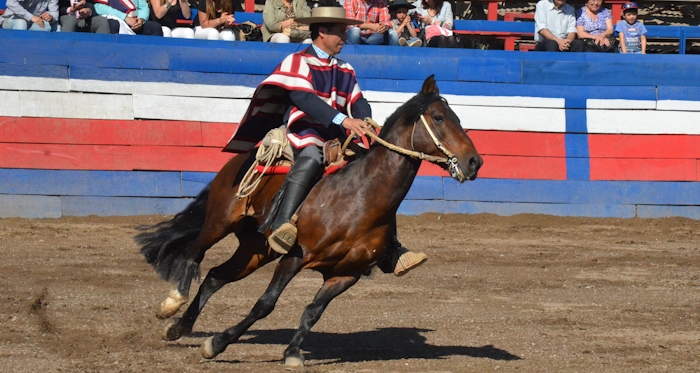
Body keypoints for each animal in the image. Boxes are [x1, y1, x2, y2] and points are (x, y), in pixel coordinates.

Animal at [137, 74, 484, 368]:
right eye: (439, 118)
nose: (474, 162)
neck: (358, 198)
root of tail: (242, 158)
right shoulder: (294, 258)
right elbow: (265, 304)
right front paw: (217, 343)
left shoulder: (345, 274)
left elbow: (312, 312)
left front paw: (292, 353)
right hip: (220, 223)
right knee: (195, 253)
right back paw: (171, 304)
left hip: (257, 249)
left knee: (214, 276)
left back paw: (179, 327)